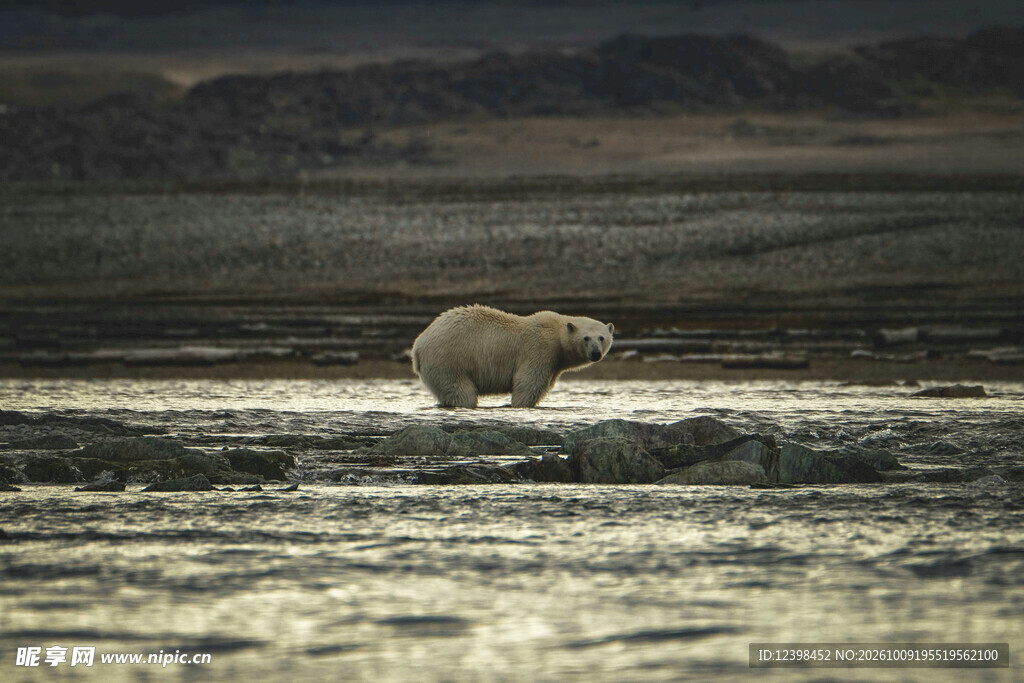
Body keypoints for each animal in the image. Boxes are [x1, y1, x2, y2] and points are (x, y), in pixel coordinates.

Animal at [412, 305, 614, 408]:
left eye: (602, 338)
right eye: (586, 338)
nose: (595, 353)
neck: (556, 332)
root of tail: (418, 345)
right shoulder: (540, 350)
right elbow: (528, 383)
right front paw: (519, 406)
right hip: (449, 360)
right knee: (461, 390)